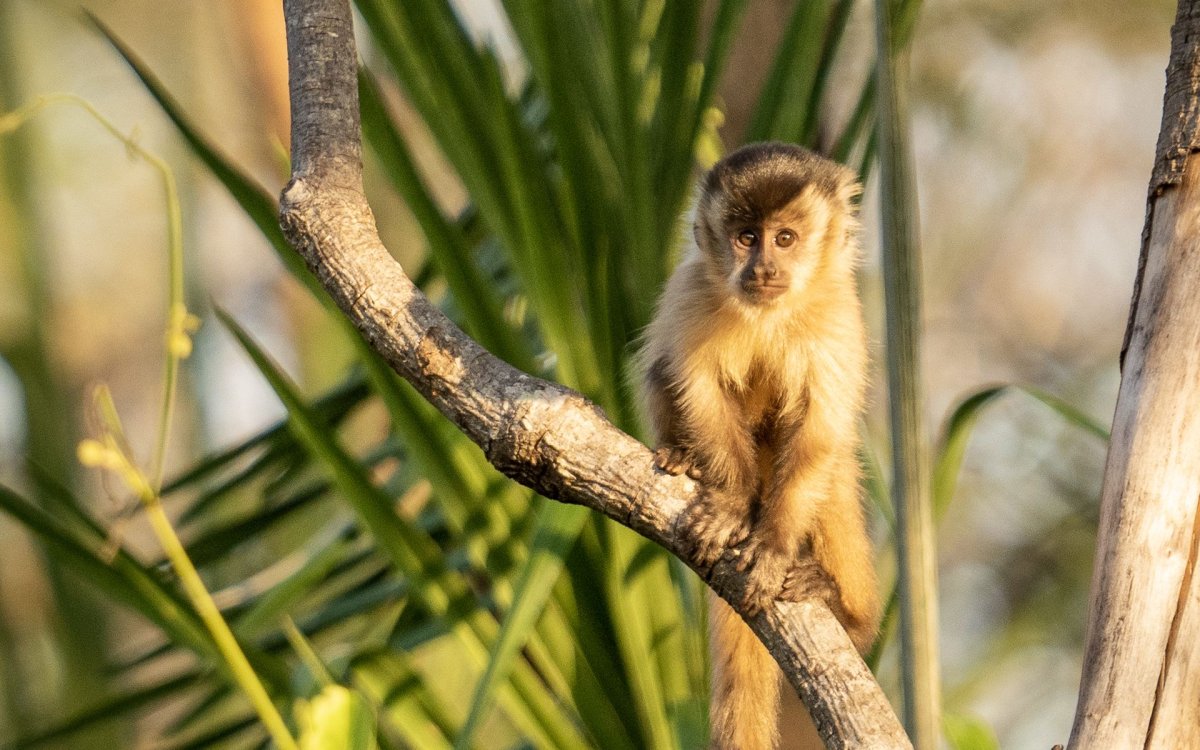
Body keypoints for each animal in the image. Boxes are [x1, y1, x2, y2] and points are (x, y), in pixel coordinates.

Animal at [638, 141, 883, 748]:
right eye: (747, 237)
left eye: (786, 238)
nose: (764, 267)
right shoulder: (691, 291)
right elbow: (697, 386)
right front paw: (729, 502)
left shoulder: (840, 310)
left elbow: (821, 431)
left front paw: (772, 544)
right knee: (660, 374)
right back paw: (684, 458)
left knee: (833, 471)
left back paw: (848, 611)